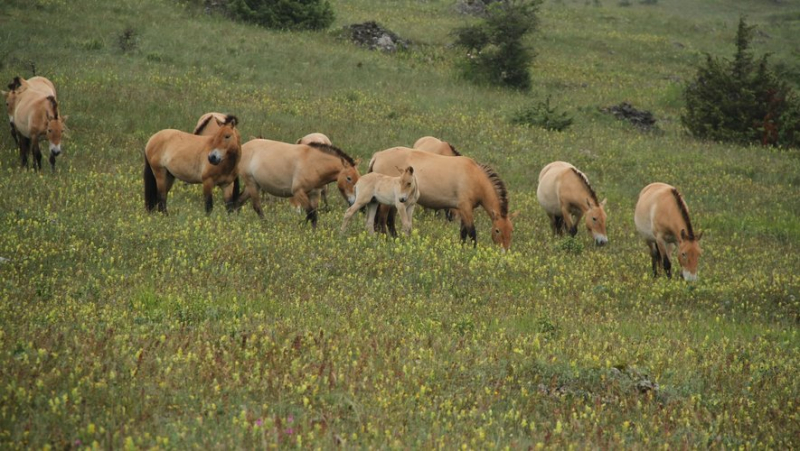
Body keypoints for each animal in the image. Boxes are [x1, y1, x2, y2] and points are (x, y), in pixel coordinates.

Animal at [228, 139, 360, 228]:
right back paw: (266, 225)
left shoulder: (314, 194)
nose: (353, 201)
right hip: (252, 184)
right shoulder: (298, 192)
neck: (313, 163)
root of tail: (243, 147)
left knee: (238, 201)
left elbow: (313, 215)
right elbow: (311, 214)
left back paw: (235, 221)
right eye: (349, 178)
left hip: (255, 185)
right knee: (257, 207)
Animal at [368, 147, 512, 251]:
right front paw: (473, 251)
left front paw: (461, 248)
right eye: (497, 230)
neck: (475, 177)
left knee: (389, 221)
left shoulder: (464, 210)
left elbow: (463, 232)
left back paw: (395, 239)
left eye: (511, 230)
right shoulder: (466, 208)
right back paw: (387, 240)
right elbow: (471, 232)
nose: (504, 252)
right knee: (382, 220)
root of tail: (377, 156)